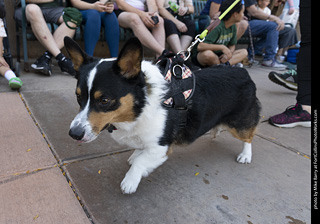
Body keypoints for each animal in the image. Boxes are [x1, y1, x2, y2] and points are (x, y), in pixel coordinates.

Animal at [64, 36, 260, 193]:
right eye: (78, 97)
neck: (140, 105)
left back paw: (246, 155)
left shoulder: (161, 147)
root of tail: (243, 72)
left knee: (249, 136)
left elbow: (141, 162)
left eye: (104, 100)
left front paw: (130, 180)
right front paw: (136, 154)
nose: (74, 134)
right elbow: (140, 151)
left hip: (239, 124)